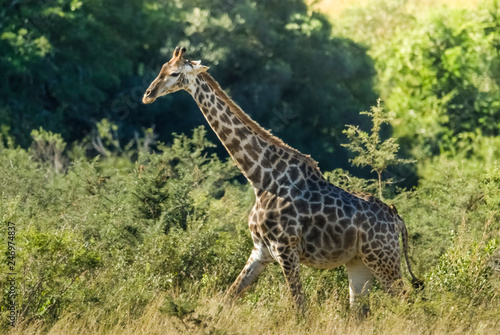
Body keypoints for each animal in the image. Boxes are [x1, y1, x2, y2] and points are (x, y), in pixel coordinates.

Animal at [143, 46, 420, 314]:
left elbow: (300, 309)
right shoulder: (260, 251)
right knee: (360, 312)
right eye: (162, 68)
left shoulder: (285, 249)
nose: (148, 94)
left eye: (175, 73)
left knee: (410, 301)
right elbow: (227, 299)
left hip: (383, 259)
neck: (261, 178)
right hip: (359, 263)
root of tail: (398, 220)